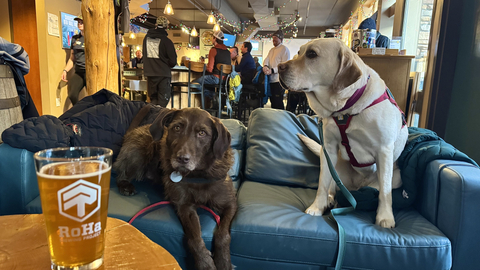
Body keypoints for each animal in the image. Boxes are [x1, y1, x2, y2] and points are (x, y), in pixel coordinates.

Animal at [114, 105, 238, 270]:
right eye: (177, 128)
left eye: (202, 133)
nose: (182, 159)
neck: (197, 175)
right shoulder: (184, 207)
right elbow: (194, 239)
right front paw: (205, 263)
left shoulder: (230, 204)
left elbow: (223, 234)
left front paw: (223, 261)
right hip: (140, 150)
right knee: (120, 172)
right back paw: (125, 185)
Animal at [278, 38, 408, 228]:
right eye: (299, 52)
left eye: (312, 54)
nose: (279, 67)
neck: (346, 109)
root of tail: (355, 188)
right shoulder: (329, 148)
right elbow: (322, 183)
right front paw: (317, 207)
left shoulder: (384, 151)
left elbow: (385, 192)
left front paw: (385, 217)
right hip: (336, 168)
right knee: (333, 188)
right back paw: (331, 200)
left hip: (396, 176)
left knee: (379, 189)